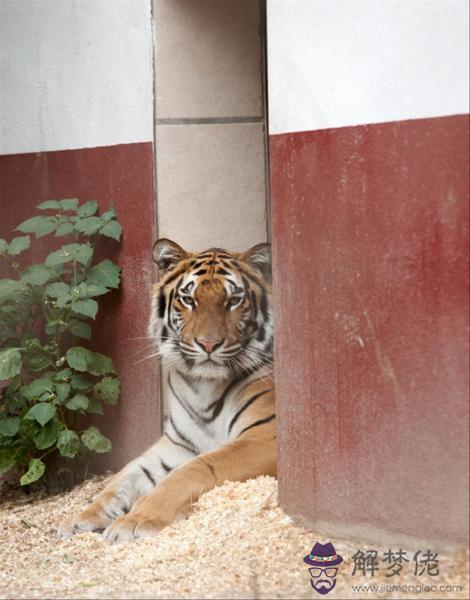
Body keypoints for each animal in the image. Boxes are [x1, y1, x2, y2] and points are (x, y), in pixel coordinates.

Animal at [60, 238, 278, 544]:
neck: (204, 387)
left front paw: (135, 520)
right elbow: (122, 478)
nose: (208, 344)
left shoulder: (264, 437)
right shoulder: (177, 444)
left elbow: (193, 469)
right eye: (189, 299)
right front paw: (81, 519)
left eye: (234, 300)